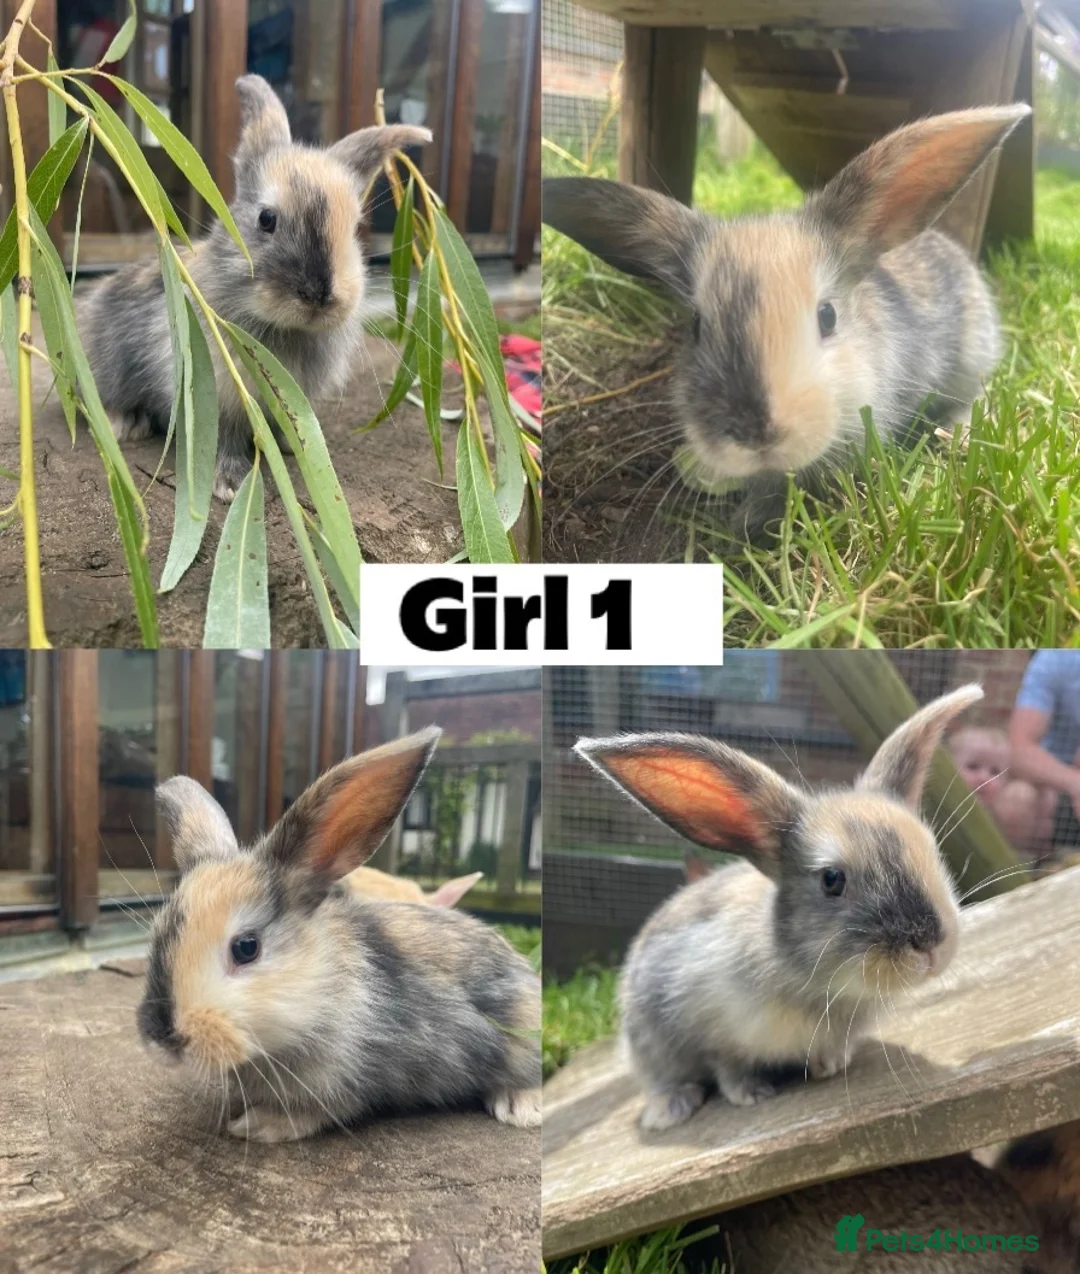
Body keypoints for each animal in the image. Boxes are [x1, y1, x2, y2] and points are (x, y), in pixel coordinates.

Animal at [81, 74, 431, 501]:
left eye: (354, 228)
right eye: (266, 219)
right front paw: (231, 485)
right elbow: (224, 438)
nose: (319, 296)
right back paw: (127, 424)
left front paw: (292, 447)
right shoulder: (218, 395)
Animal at [136, 726, 541, 1143]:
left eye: (246, 948)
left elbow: (318, 1110)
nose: (162, 1039)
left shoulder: (347, 1079)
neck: (324, 991)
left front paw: (257, 1125)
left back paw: (520, 1108)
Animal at [574, 683, 982, 1132]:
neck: (825, 988)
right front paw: (749, 1094)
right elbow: (726, 1064)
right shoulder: (711, 1027)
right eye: (831, 879)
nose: (930, 945)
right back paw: (670, 1109)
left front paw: (830, 1065)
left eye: (931, 851)